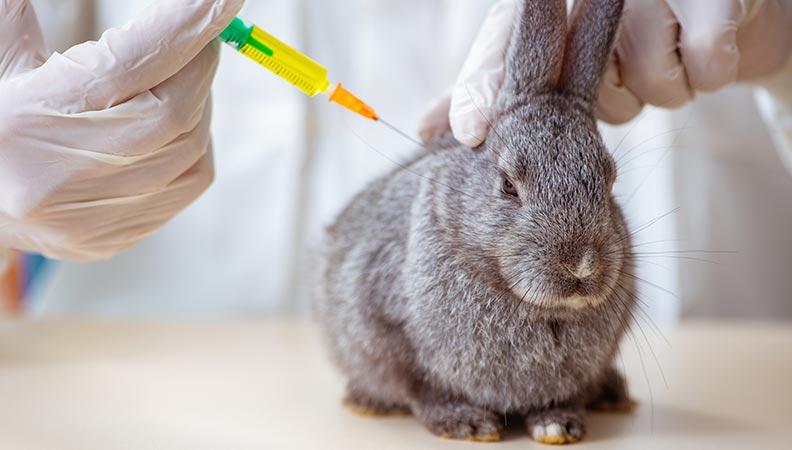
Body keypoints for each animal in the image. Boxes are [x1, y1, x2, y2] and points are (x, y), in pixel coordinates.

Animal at [316, 0, 635, 444]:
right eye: (508, 185)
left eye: (610, 181)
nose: (581, 266)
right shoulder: (383, 325)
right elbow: (418, 385)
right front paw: (466, 423)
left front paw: (559, 424)